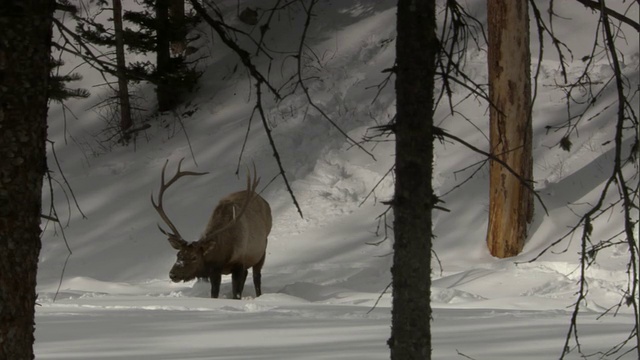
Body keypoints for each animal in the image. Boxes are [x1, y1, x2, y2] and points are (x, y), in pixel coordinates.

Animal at [152, 159, 272, 300]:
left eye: (194, 257)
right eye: (178, 254)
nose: (173, 274)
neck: (223, 255)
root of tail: (265, 202)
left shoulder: (239, 263)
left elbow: (236, 294)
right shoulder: (214, 271)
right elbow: (214, 294)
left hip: (262, 249)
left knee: (256, 277)